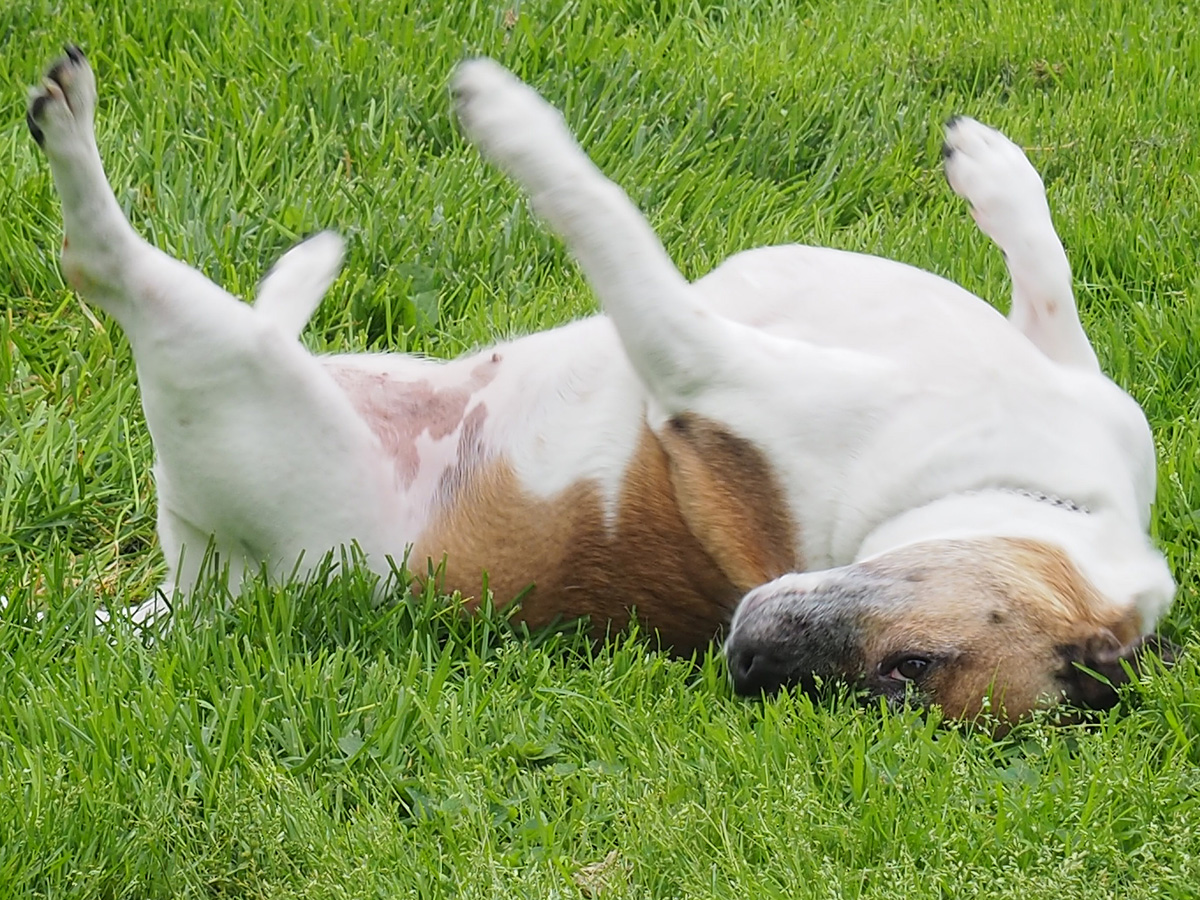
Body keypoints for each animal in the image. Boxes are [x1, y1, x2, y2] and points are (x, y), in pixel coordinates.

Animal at [23, 47, 1176, 724]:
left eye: (906, 677)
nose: (741, 664)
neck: (1031, 485)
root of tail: (204, 599)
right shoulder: (1075, 384)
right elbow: (1049, 278)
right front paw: (992, 169)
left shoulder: (691, 353)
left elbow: (605, 215)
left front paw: (509, 118)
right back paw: (297, 269)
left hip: (226, 370)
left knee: (104, 264)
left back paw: (73, 131)